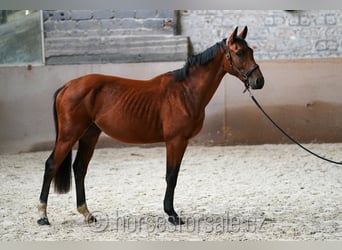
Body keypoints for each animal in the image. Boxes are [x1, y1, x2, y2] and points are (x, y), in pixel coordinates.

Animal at [36, 26, 264, 227]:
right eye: (239, 52)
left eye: (251, 50)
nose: (258, 81)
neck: (185, 91)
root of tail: (67, 86)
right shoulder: (175, 141)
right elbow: (171, 176)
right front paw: (172, 215)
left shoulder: (181, 142)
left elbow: (174, 174)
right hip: (69, 135)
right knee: (51, 165)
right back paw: (42, 216)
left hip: (89, 135)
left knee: (79, 168)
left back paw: (87, 214)